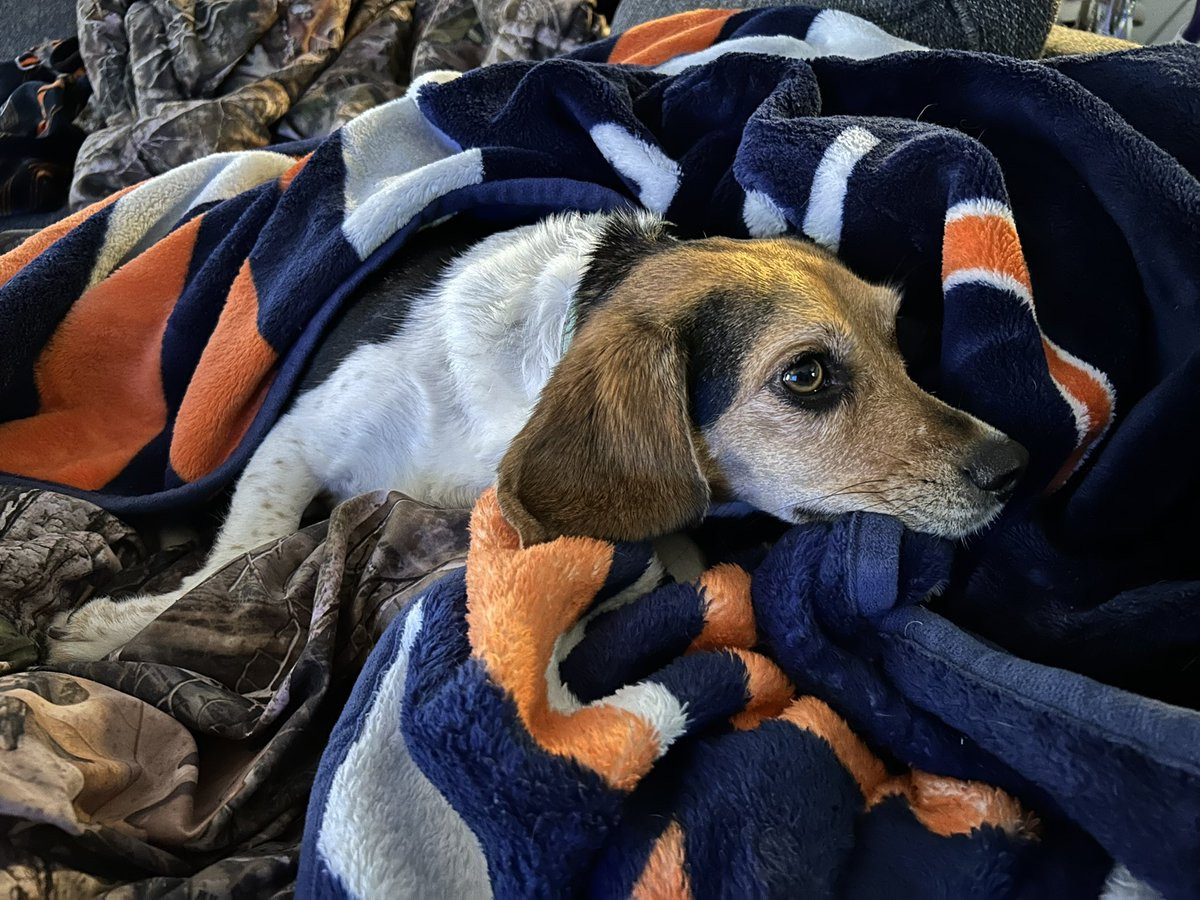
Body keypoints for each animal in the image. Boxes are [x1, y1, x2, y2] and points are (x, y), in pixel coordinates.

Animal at [46, 209, 1027, 662]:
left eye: (898, 341)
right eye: (807, 376)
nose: (1014, 464)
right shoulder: (289, 441)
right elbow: (235, 558)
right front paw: (106, 632)